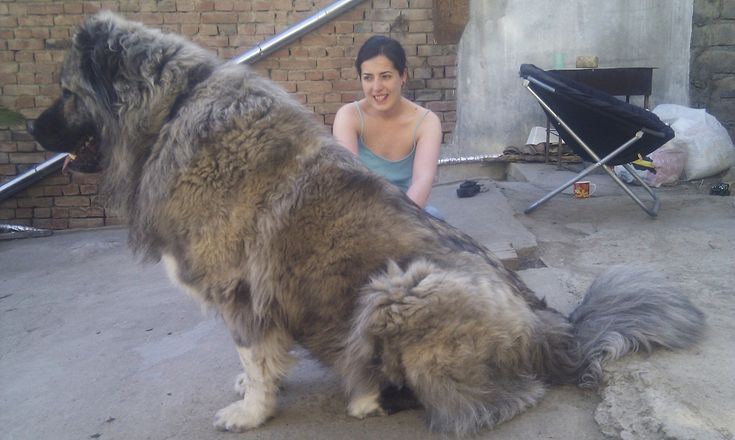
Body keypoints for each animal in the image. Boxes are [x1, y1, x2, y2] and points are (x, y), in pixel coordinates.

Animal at [30, 12, 708, 436]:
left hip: (400, 287)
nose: (30, 130)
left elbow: (254, 354)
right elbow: (257, 357)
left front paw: (251, 411)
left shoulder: (242, 292)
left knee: (498, 400)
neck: (171, 113)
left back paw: (367, 395)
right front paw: (251, 391)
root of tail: (555, 329)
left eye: (66, 92)